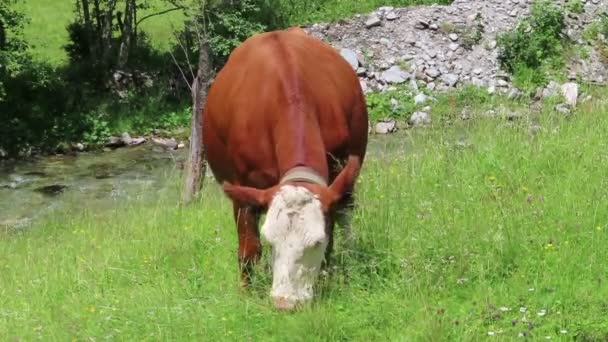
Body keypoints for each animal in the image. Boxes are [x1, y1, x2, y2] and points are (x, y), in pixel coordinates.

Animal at [202, 26, 368, 310]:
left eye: (316, 241)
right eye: (271, 239)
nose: (285, 303)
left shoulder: (337, 176)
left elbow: (333, 236)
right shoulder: (243, 190)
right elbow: (249, 250)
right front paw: (245, 294)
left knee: (347, 216)